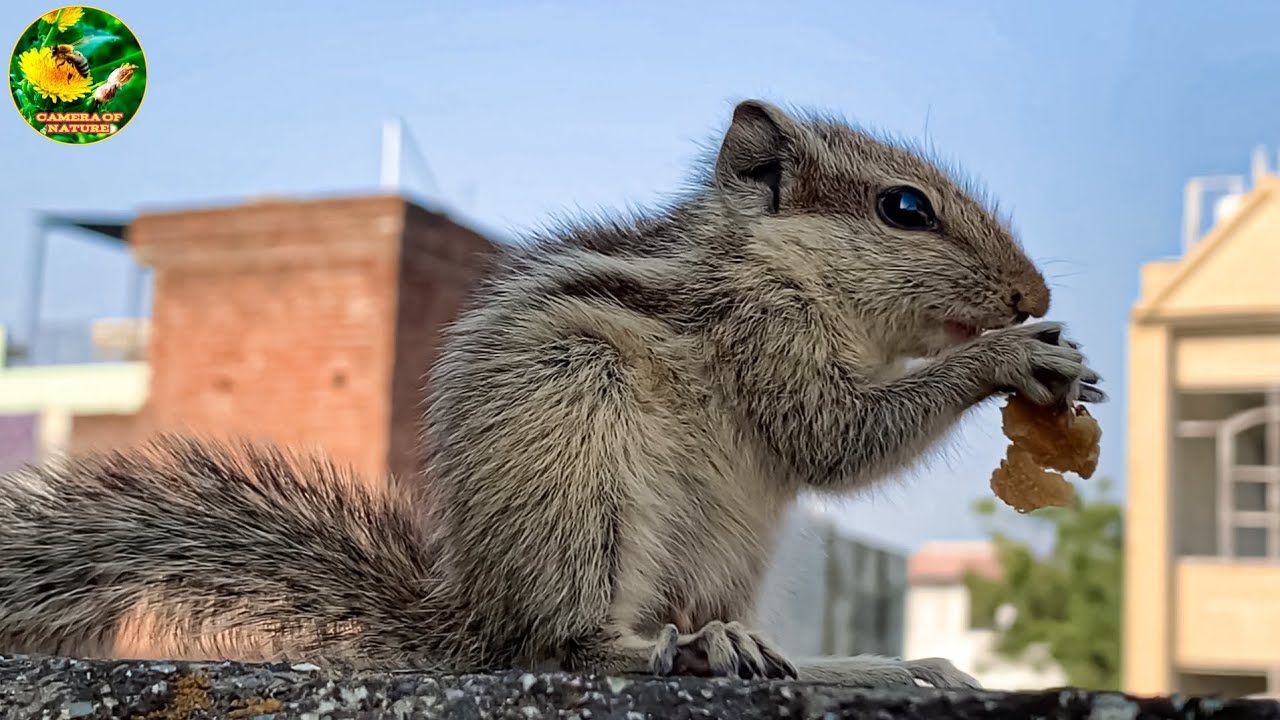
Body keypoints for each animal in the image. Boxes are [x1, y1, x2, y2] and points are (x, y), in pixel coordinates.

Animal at [0, 99, 1102, 689]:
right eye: (903, 208)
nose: (1033, 296)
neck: (772, 264)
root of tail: (471, 615)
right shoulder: (765, 336)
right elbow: (836, 439)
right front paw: (1007, 359)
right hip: (581, 456)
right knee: (566, 643)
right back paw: (682, 651)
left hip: (724, 548)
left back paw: (845, 660)